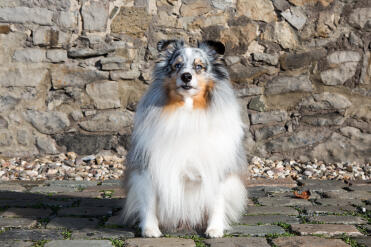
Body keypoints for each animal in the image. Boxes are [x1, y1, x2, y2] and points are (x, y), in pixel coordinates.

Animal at [123, 39, 248, 238]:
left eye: (199, 66)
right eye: (177, 65)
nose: (186, 76)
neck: (187, 109)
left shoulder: (216, 165)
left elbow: (216, 200)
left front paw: (214, 229)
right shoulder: (149, 166)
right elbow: (149, 201)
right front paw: (150, 230)